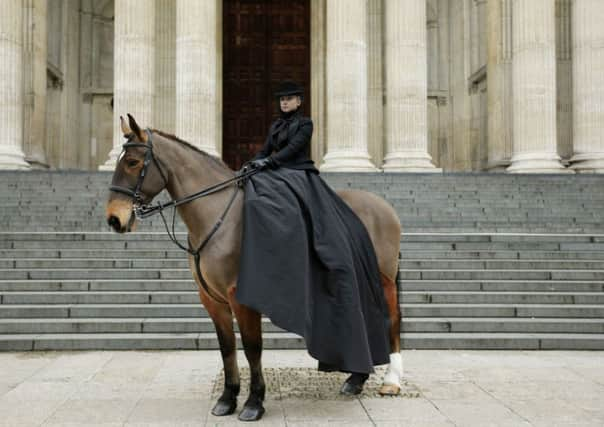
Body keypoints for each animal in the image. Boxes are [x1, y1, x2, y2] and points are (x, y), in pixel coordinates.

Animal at [106, 114, 404, 424]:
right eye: (120, 160)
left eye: (133, 162)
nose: (114, 219)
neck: (217, 215)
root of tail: (383, 205)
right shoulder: (211, 299)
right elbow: (227, 348)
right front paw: (227, 398)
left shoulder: (241, 297)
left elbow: (252, 348)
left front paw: (254, 402)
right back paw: (356, 379)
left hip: (384, 279)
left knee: (392, 321)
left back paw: (391, 381)